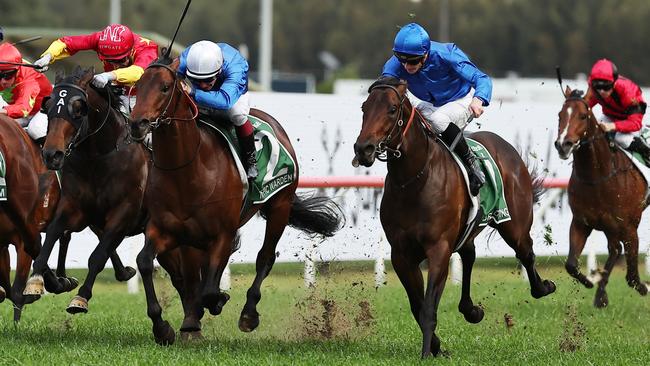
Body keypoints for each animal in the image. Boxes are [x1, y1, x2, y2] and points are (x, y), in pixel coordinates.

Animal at [130, 58, 344, 346]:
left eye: (165, 87)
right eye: (138, 86)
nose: (137, 124)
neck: (188, 171)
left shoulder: (222, 232)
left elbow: (210, 290)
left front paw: (215, 302)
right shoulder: (166, 230)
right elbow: (145, 262)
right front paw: (164, 327)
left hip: (280, 206)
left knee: (265, 258)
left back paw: (248, 314)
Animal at [352, 78, 556, 358]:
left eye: (392, 110)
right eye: (364, 108)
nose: (364, 148)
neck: (414, 180)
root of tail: (507, 147)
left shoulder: (439, 248)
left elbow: (428, 307)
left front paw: (426, 354)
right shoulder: (401, 254)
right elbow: (417, 306)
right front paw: (437, 348)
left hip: (515, 225)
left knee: (526, 254)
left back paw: (543, 287)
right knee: (469, 255)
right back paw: (471, 310)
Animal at [556, 87, 644, 308]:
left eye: (583, 115)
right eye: (560, 115)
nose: (563, 145)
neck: (596, 177)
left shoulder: (629, 227)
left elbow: (632, 276)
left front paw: (644, 287)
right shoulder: (581, 222)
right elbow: (571, 264)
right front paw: (590, 281)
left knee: (616, 251)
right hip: (609, 227)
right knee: (614, 249)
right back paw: (600, 293)